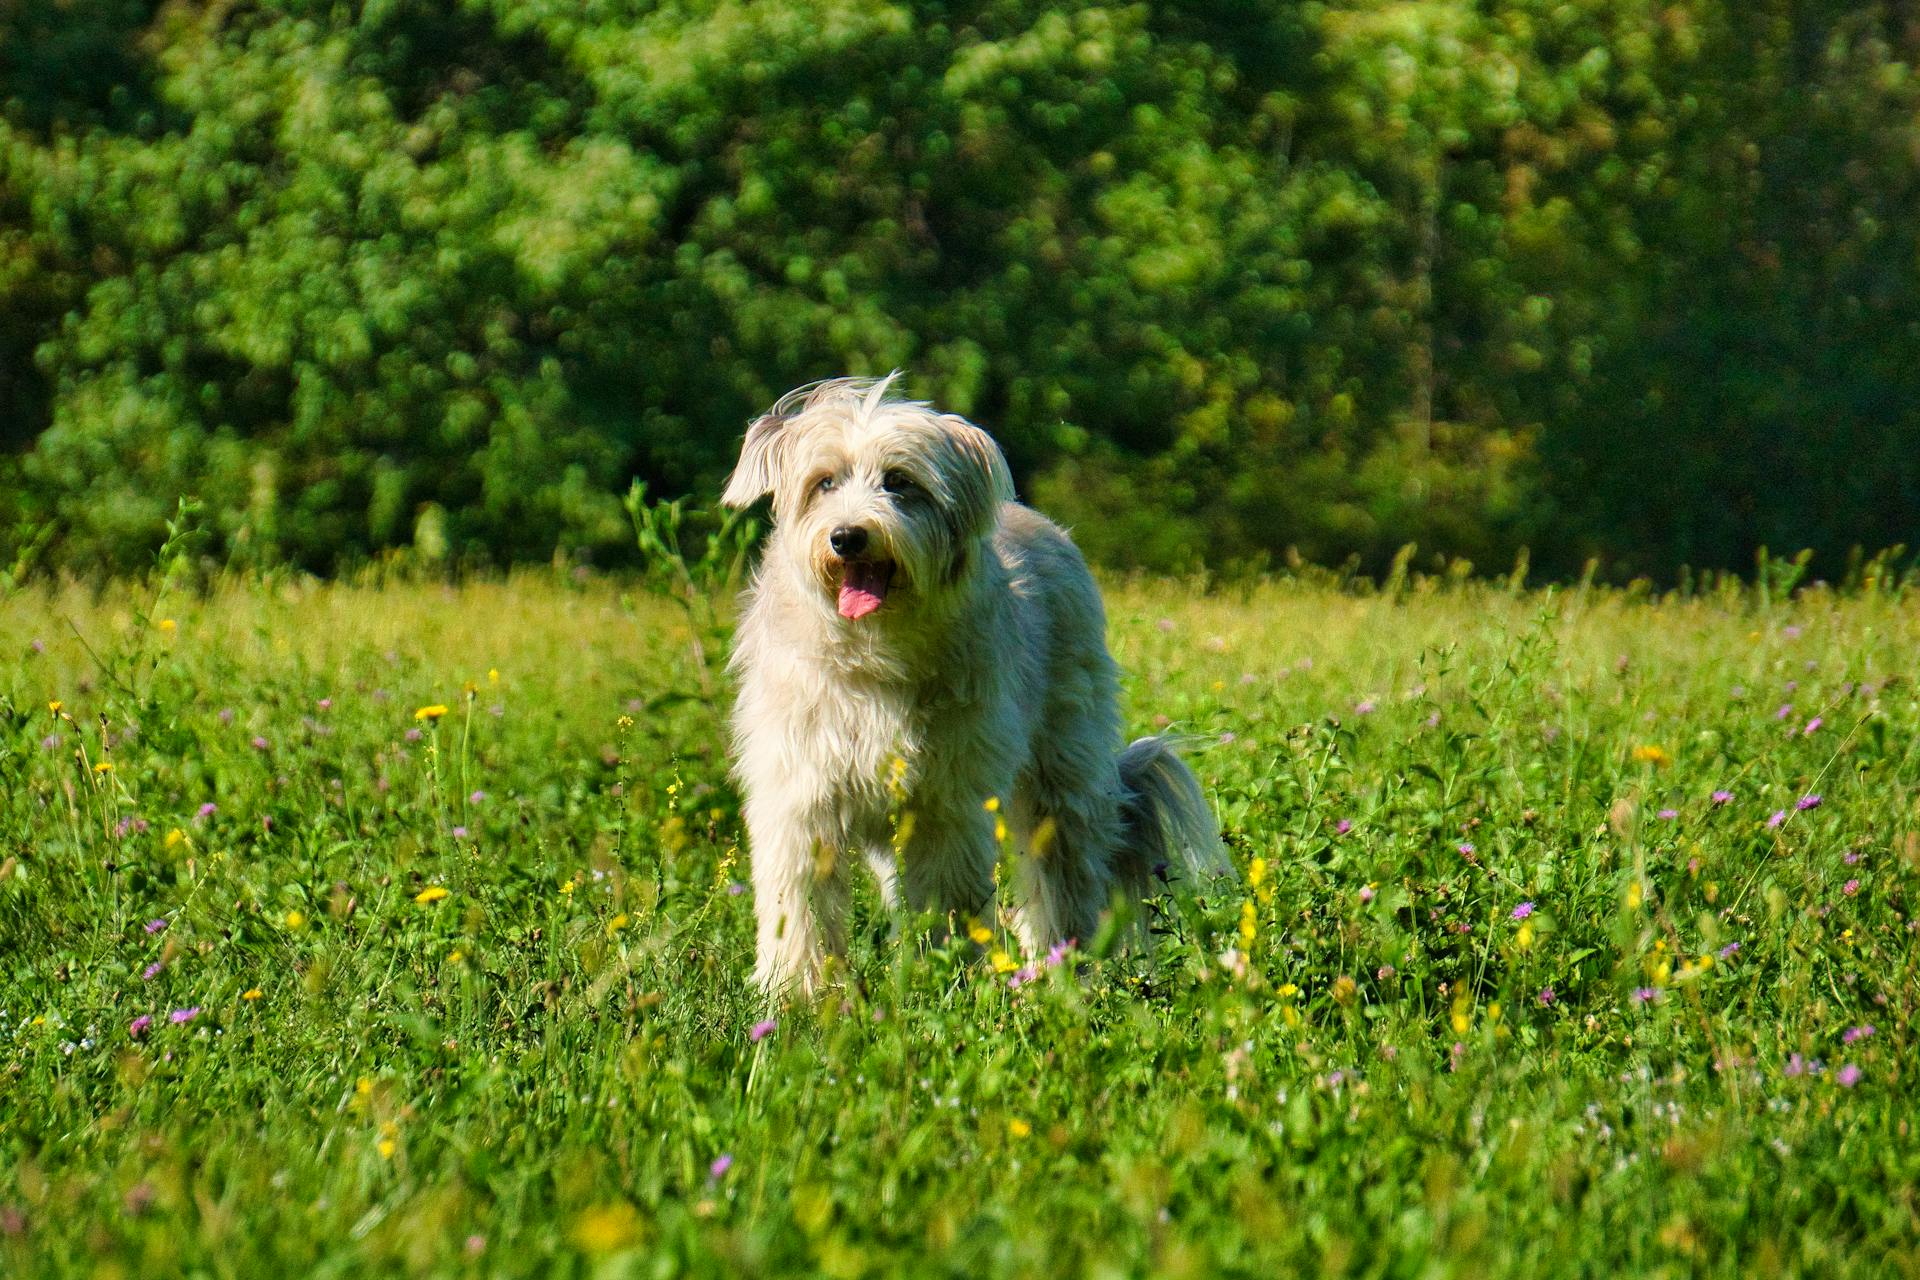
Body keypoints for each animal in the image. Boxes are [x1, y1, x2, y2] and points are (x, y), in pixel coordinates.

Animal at [721, 376, 1228, 997]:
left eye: (899, 482)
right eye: (824, 483)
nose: (848, 537)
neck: (876, 651)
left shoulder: (947, 803)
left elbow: (947, 894)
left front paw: (948, 980)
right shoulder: (801, 799)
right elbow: (799, 906)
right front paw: (797, 993)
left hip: (1063, 775)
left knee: (1066, 873)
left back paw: (1068, 970)